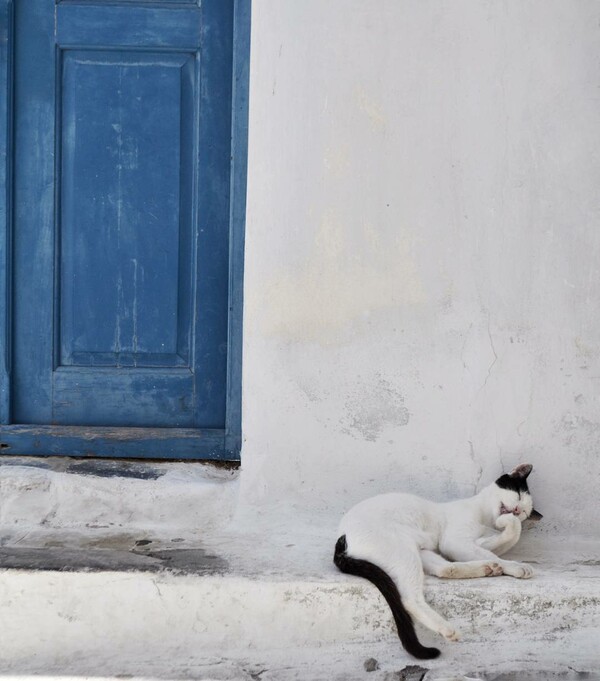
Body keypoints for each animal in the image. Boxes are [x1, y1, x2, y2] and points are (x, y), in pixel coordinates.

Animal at [332, 462, 544, 660]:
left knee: (445, 568)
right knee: (410, 599)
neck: (485, 520)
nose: (516, 510)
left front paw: (506, 547)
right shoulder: (454, 542)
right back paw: (447, 628)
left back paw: (487, 568)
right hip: (404, 552)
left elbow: (501, 542)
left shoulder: (475, 542)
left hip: (421, 551)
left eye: (524, 512)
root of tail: (343, 537)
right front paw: (517, 565)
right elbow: (506, 537)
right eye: (518, 495)